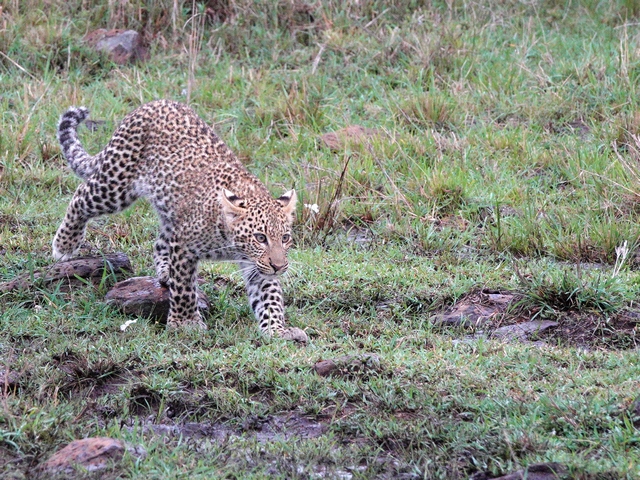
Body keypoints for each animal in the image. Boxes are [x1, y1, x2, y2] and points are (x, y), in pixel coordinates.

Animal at [53, 99, 307, 343]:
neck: (230, 242)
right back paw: (64, 245)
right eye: (260, 237)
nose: (279, 266)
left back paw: (165, 270)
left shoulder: (256, 264)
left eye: (285, 238)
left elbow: (269, 295)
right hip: (116, 184)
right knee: (81, 195)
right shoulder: (185, 246)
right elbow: (184, 288)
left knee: (159, 243)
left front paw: (277, 329)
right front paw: (186, 324)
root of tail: (149, 105)